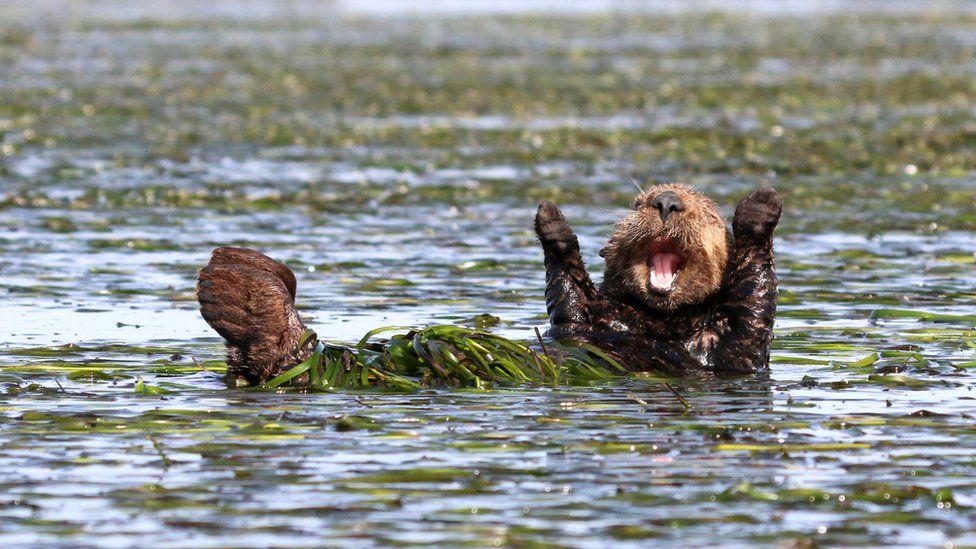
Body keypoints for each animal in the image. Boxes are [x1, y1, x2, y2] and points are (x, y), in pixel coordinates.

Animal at [194, 183, 780, 382]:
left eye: (707, 212)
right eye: (640, 201)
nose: (667, 202)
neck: (652, 319)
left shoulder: (731, 346)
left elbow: (753, 297)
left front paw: (759, 210)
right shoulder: (584, 319)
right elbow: (569, 294)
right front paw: (553, 223)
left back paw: (236, 288)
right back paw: (239, 282)